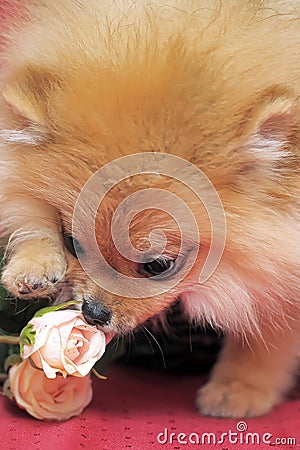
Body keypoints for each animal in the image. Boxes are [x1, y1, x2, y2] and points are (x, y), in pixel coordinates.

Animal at [0, 0, 298, 416]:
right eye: (72, 243)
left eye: (158, 265)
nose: (93, 315)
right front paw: (33, 267)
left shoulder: (279, 272)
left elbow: (269, 334)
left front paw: (239, 386)